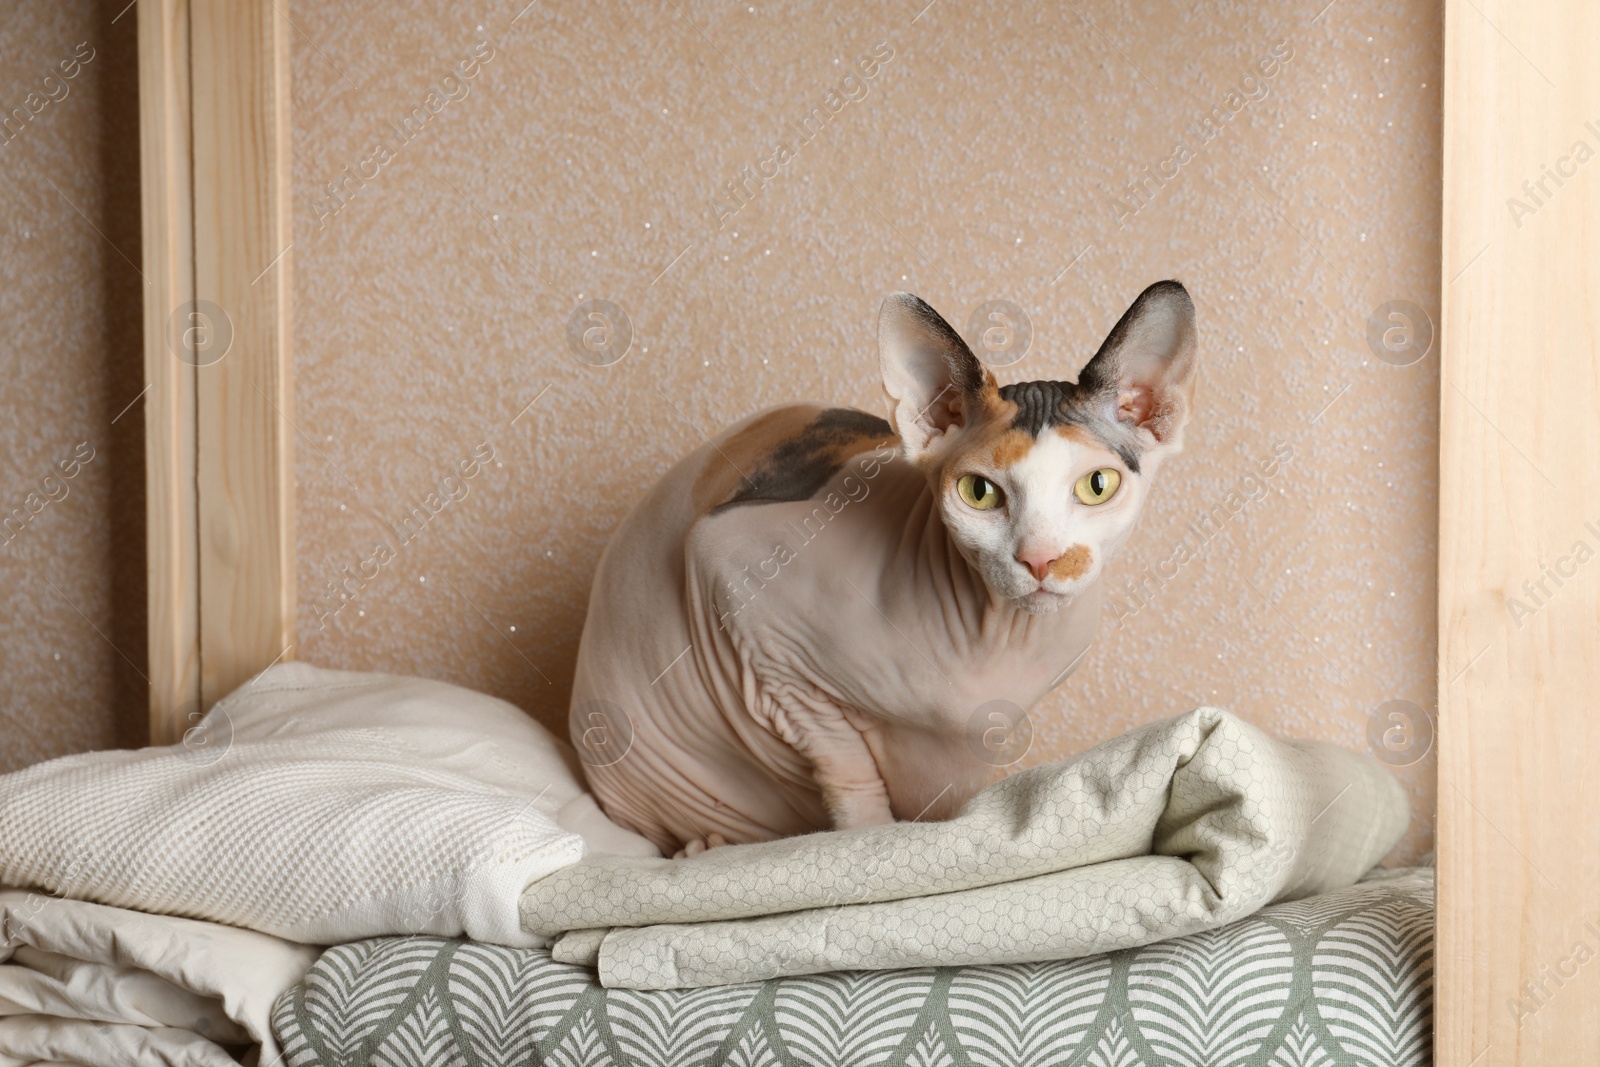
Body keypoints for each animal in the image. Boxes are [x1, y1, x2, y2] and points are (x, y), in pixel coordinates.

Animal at [569, 279, 1196, 857]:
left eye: (1097, 485)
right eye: (979, 492)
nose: (1040, 558)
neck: (997, 636)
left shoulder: (988, 732)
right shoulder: (737, 586)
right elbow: (846, 765)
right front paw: (869, 843)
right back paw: (705, 848)